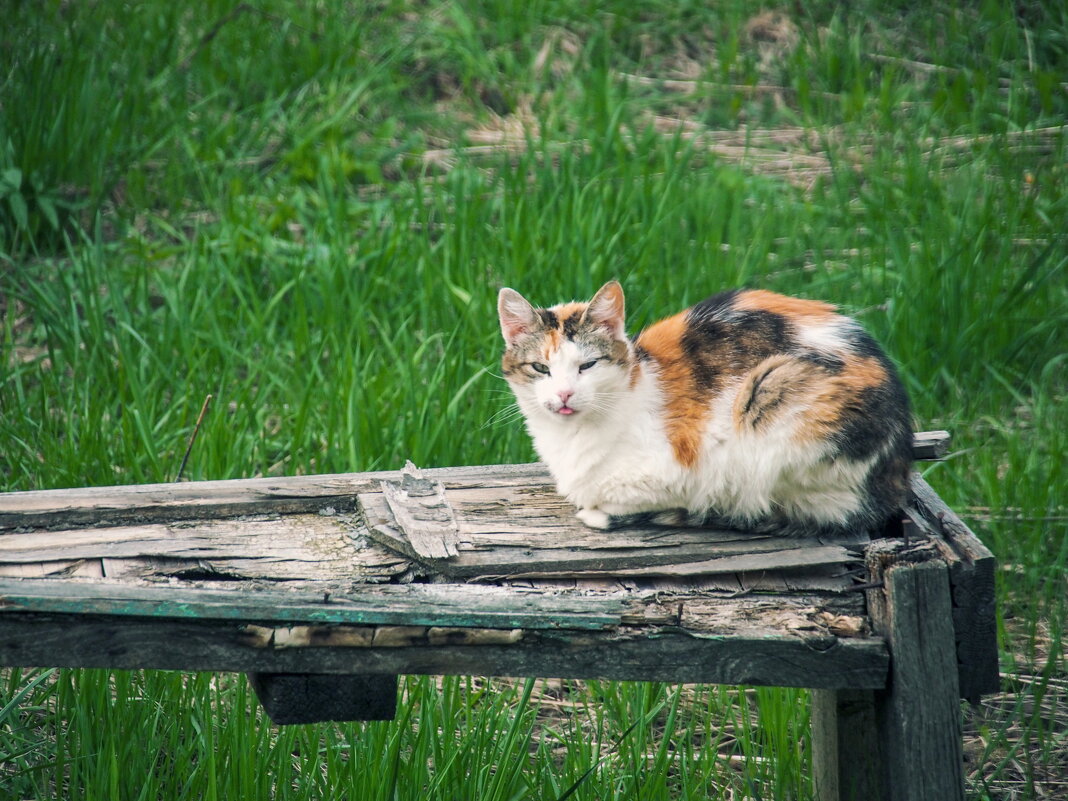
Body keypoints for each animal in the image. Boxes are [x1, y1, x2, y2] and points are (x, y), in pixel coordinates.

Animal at [497, 279, 909, 536]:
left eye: (587, 365)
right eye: (540, 368)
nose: (565, 395)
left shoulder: (683, 470)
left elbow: (619, 498)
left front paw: (598, 513)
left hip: (771, 397)